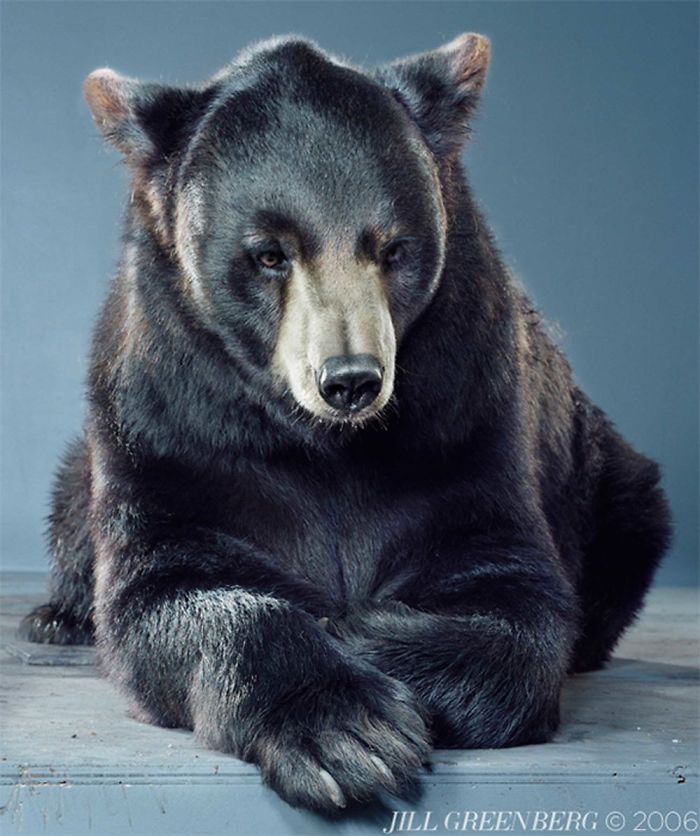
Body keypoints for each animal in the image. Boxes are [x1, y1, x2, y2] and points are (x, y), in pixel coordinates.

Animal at [19, 33, 671, 812]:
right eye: (269, 253)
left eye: (392, 248)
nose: (351, 379)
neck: (325, 443)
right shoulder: (172, 433)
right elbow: (166, 589)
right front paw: (342, 729)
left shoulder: (470, 424)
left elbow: (516, 601)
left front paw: (360, 626)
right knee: (70, 506)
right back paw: (57, 616)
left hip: (609, 479)